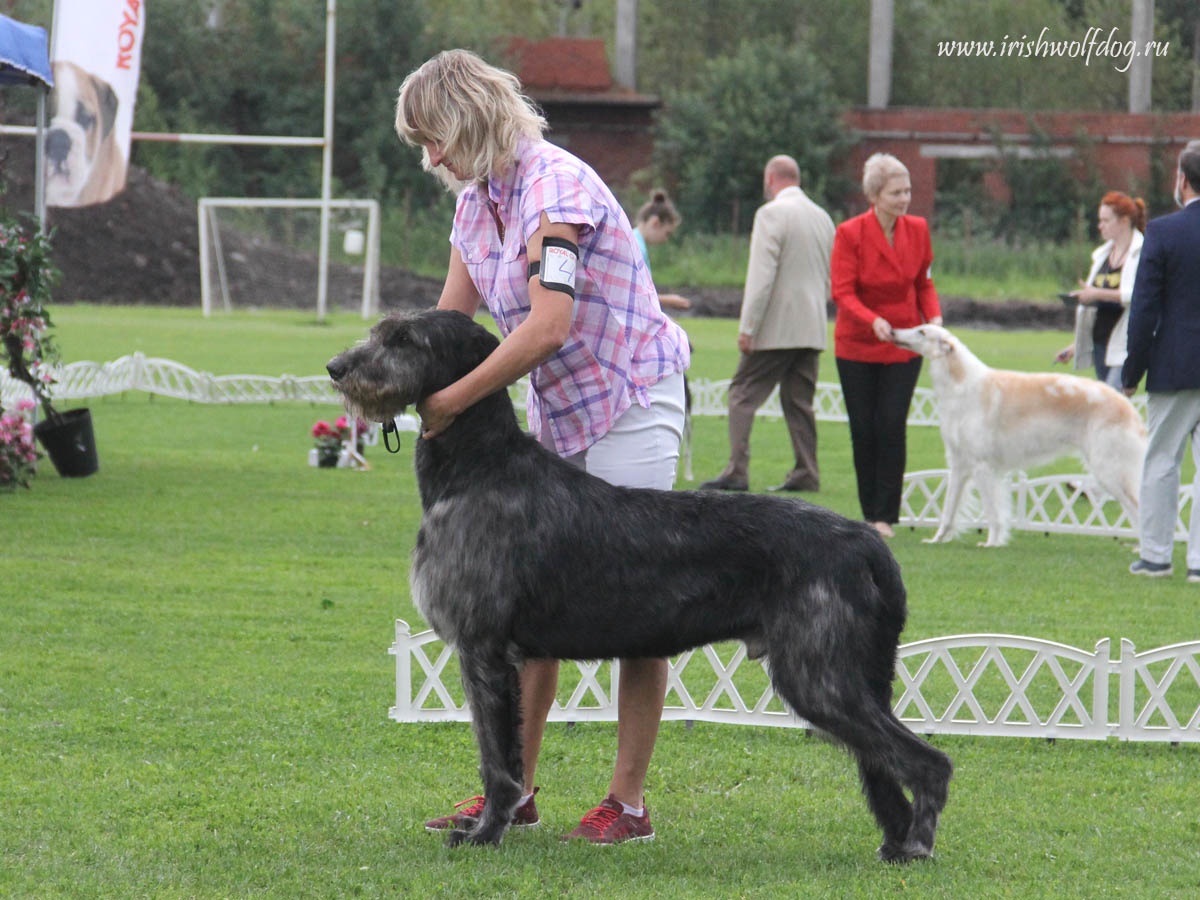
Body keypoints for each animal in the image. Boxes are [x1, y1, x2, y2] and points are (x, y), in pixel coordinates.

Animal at [892, 326, 1142, 549]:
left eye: (922, 331)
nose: (892, 331)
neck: (962, 382)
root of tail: (1128, 407)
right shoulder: (959, 464)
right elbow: (948, 511)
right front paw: (937, 539)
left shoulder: (983, 467)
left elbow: (993, 513)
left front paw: (992, 543)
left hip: (1109, 469)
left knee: (1138, 506)